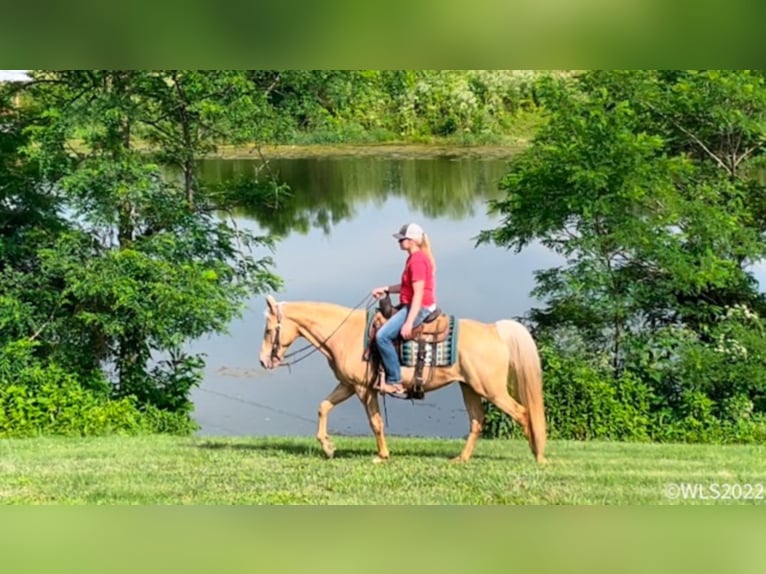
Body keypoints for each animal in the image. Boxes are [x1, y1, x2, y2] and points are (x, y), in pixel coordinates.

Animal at [258, 294, 544, 466]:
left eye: (269, 330)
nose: (262, 361)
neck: (346, 333)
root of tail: (493, 330)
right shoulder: (349, 385)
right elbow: (323, 407)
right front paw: (328, 448)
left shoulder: (364, 389)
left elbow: (375, 422)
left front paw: (382, 456)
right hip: (470, 387)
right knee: (477, 421)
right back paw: (461, 459)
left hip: (492, 390)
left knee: (523, 413)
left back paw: (539, 455)